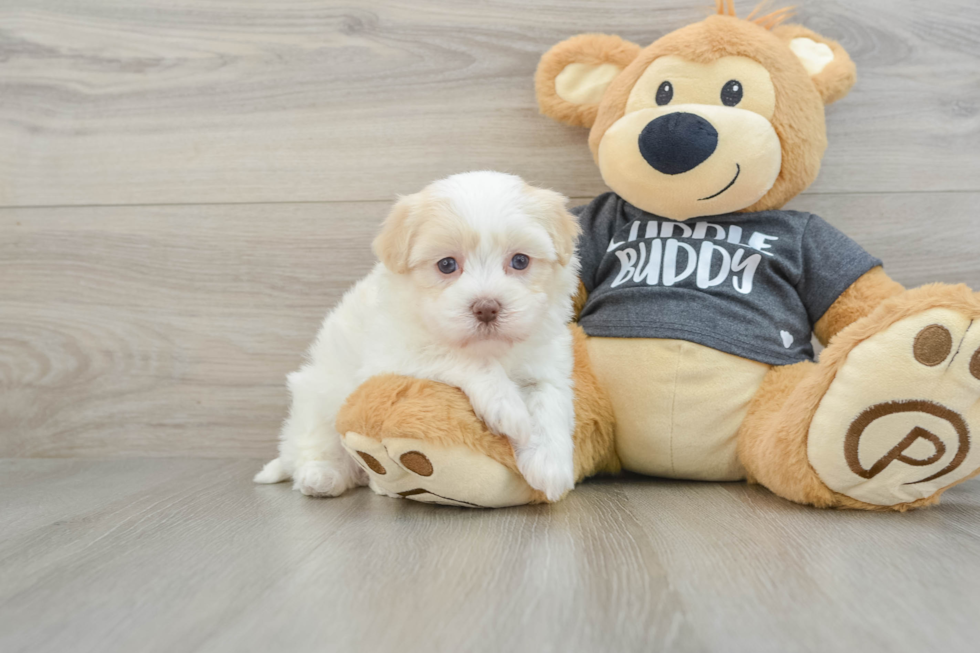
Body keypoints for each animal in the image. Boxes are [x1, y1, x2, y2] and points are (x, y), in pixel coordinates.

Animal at [256, 172, 584, 500]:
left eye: (520, 261)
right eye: (447, 264)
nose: (487, 308)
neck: (489, 348)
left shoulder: (547, 361)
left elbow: (549, 400)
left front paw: (551, 466)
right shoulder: (390, 356)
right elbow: (458, 357)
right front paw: (507, 406)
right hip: (316, 401)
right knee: (311, 444)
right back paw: (322, 476)